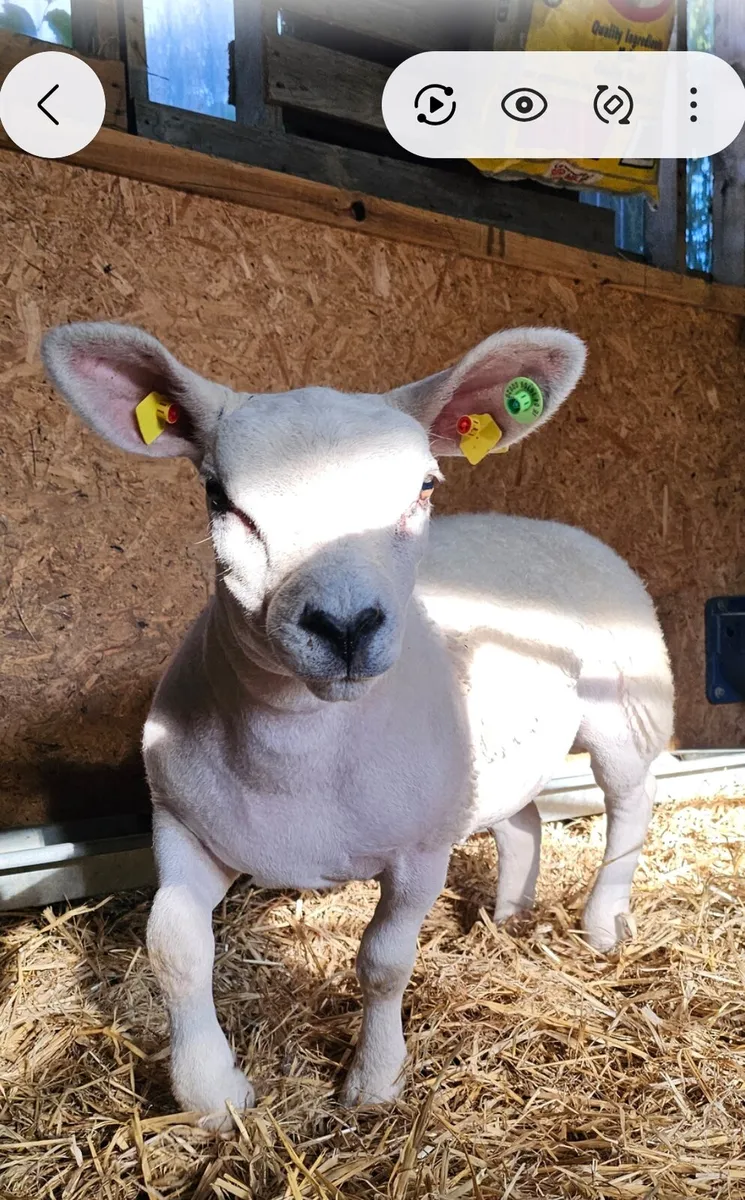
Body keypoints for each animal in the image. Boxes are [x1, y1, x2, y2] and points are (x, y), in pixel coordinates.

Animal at [41, 321, 674, 1126]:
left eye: (425, 488)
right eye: (219, 497)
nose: (344, 626)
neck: (299, 747)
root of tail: (550, 526)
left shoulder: (418, 853)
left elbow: (383, 962)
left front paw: (373, 1083)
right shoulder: (183, 824)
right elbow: (174, 946)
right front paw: (212, 1096)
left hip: (627, 708)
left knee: (629, 807)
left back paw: (602, 923)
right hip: (490, 761)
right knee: (522, 821)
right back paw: (508, 917)